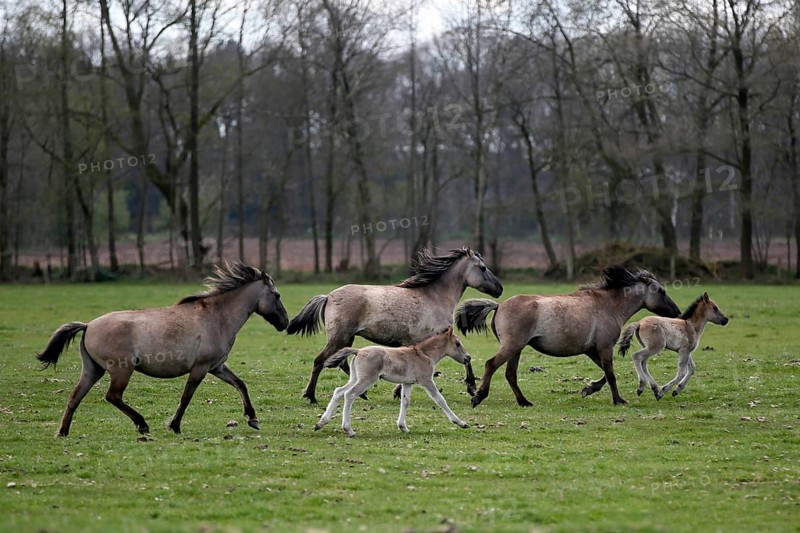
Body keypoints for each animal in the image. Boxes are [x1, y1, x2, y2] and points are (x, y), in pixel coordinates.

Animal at [36, 262, 288, 436]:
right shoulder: (201, 367)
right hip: (121, 370)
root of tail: (88, 326)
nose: (285, 323)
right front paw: (174, 426)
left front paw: (253, 418)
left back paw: (63, 432)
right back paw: (142, 424)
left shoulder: (217, 366)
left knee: (75, 397)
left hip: (92, 370)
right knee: (113, 396)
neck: (217, 317)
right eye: (277, 295)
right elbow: (186, 397)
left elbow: (240, 384)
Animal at [287, 246, 503, 404]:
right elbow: (465, 359)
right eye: (483, 268)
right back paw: (311, 396)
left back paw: (362, 393)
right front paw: (472, 388)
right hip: (339, 338)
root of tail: (328, 296)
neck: (434, 298)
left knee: (341, 362)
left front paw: (398, 391)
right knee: (319, 361)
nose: (500, 289)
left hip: (347, 339)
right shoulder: (437, 338)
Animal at [313, 327, 471, 436]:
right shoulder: (426, 381)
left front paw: (403, 427)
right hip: (367, 379)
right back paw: (348, 429)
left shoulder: (407, 383)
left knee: (339, 392)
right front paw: (461, 423)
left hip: (355, 378)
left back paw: (320, 423)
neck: (424, 354)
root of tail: (358, 351)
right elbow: (440, 400)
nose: (468, 358)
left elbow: (405, 402)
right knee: (349, 394)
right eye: (457, 343)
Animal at [456, 265, 681, 407]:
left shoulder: (592, 350)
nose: (677, 312)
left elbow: (605, 374)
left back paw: (524, 402)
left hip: (516, 349)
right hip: (512, 346)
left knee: (510, 374)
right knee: (491, 365)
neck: (608, 306)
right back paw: (478, 396)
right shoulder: (605, 347)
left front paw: (589, 389)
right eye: (661, 291)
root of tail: (499, 305)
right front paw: (618, 400)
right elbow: (611, 374)